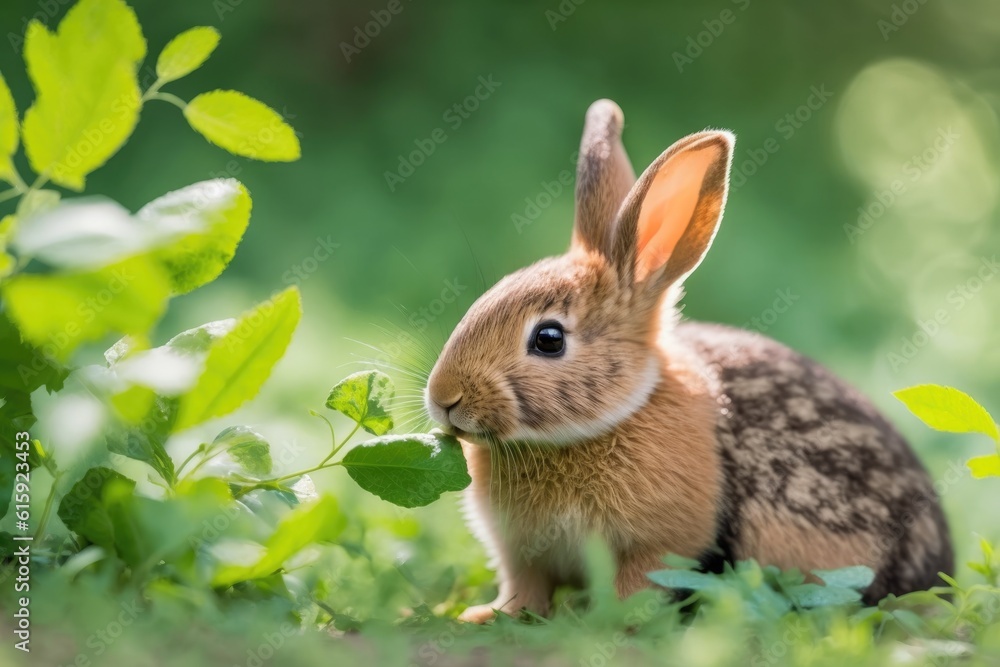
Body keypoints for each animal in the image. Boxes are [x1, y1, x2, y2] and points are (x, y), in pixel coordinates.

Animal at [424, 100, 952, 628]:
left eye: (548, 339)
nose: (444, 398)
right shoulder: (522, 556)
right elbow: (525, 589)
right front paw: (487, 615)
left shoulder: (659, 545)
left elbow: (636, 584)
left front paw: (604, 622)